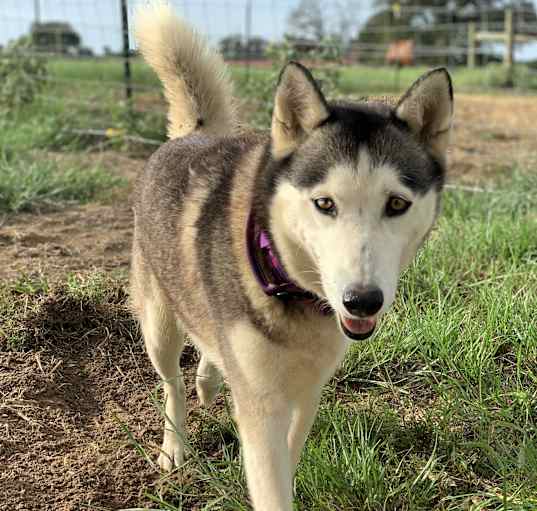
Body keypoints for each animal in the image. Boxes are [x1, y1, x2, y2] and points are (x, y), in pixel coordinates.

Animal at [131, 5, 452, 511]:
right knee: (172, 382)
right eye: (324, 204)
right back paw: (175, 444)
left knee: (206, 348)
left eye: (397, 204)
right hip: (159, 326)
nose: (362, 300)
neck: (288, 283)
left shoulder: (308, 391)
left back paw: (209, 380)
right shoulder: (262, 407)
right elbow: (271, 482)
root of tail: (191, 135)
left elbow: (293, 450)